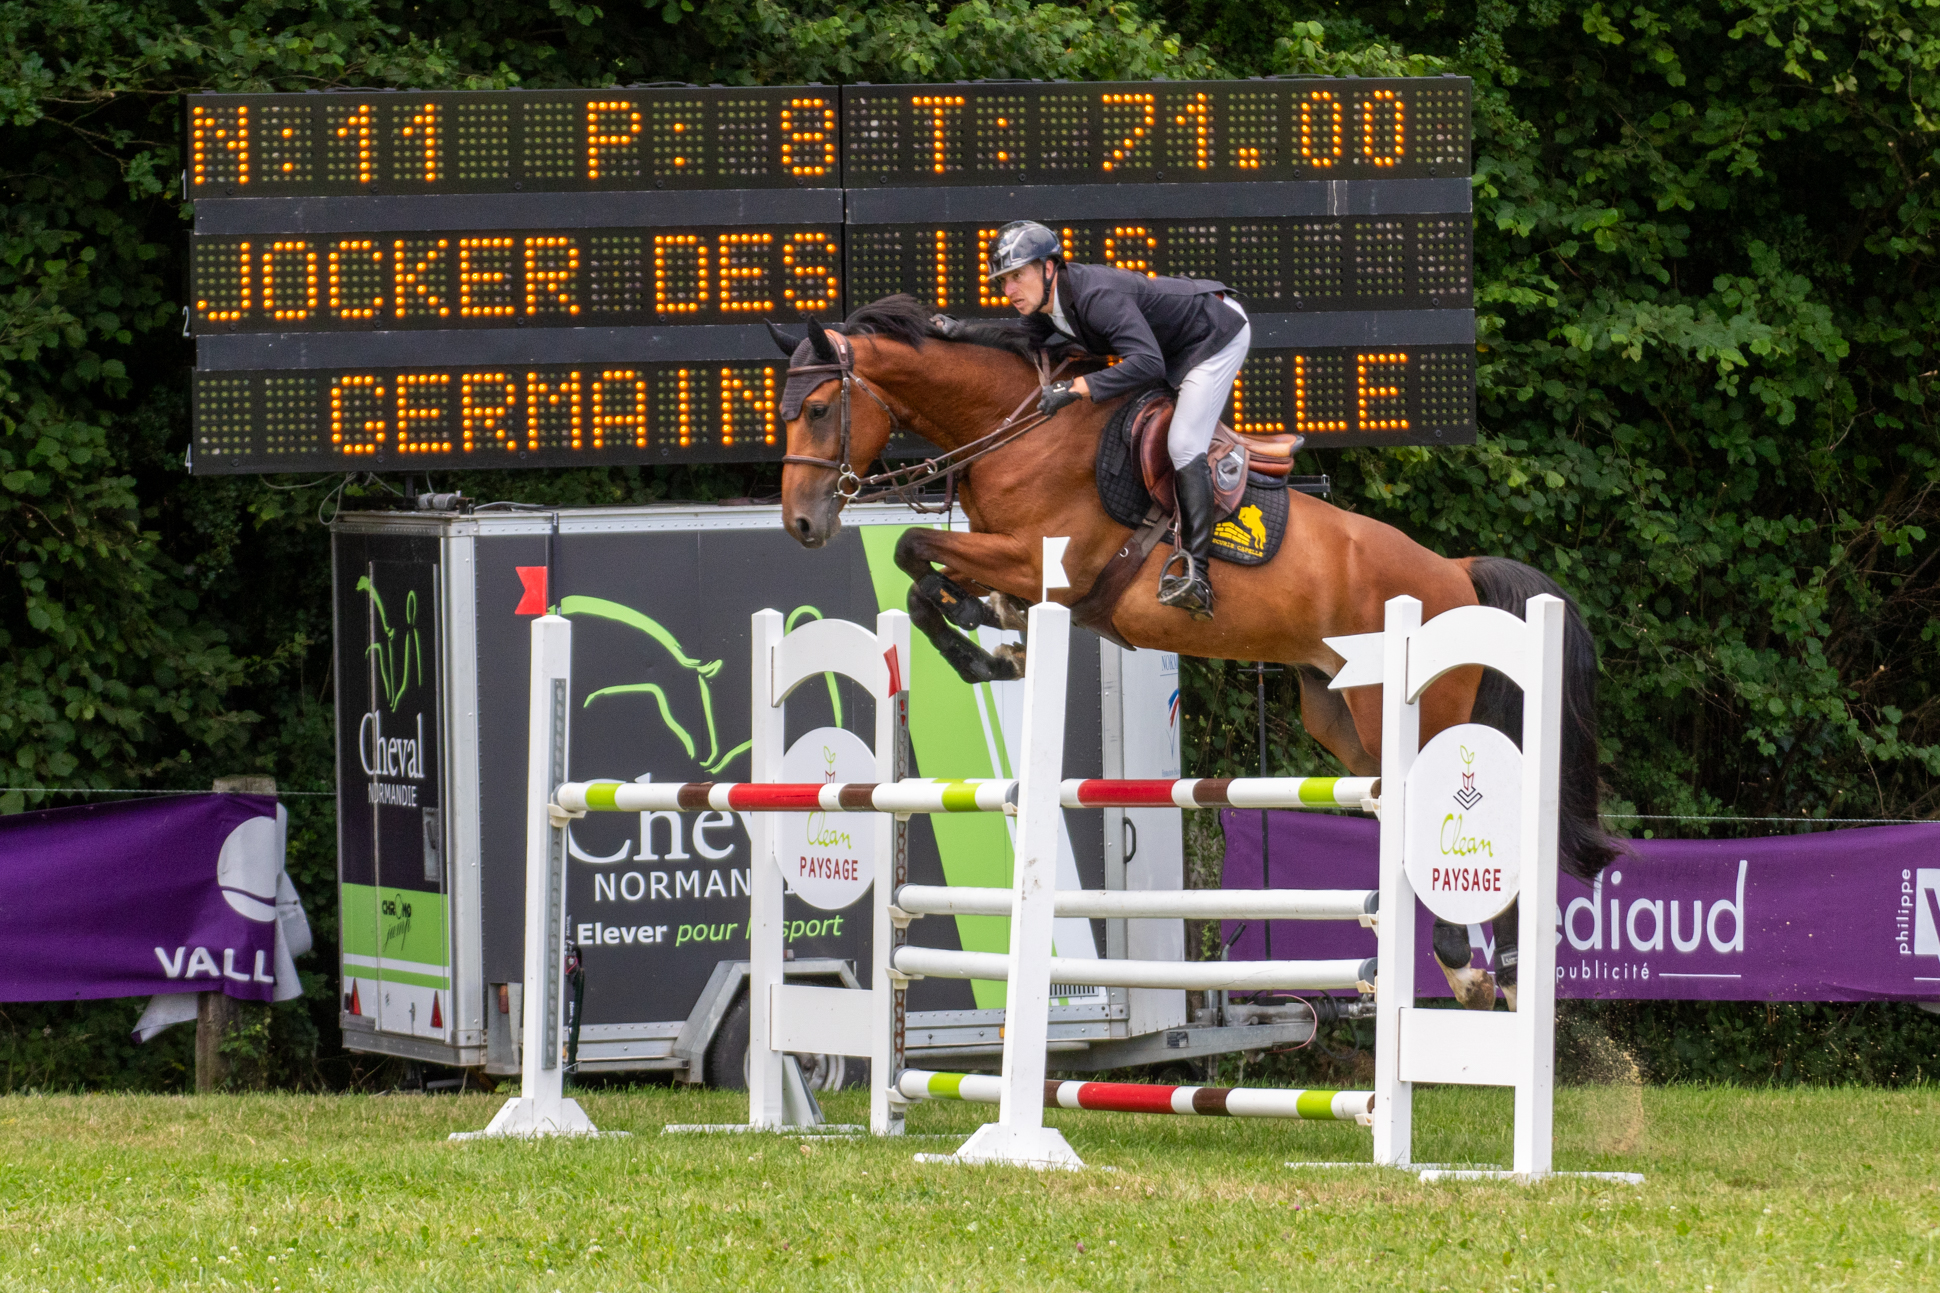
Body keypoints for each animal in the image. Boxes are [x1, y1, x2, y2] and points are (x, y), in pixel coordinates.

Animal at [768, 295, 1616, 1009]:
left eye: (818, 408)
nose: (803, 524)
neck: (1021, 430)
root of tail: (1455, 572)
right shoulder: (1014, 561)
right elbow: (919, 575)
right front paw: (992, 643)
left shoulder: (1045, 560)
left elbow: (914, 547)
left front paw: (988, 641)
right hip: (1341, 719)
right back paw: (1497, 976)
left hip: (1410, 712)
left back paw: (1473, 967)